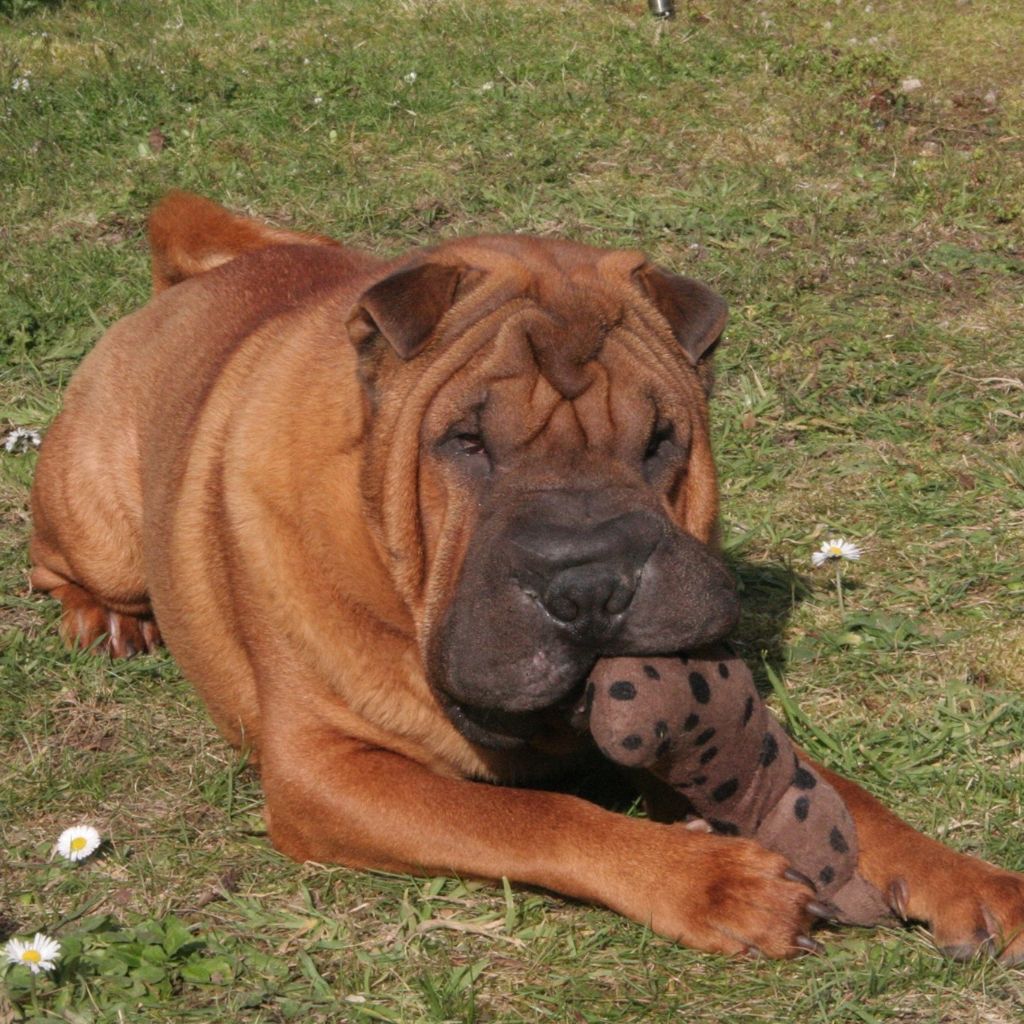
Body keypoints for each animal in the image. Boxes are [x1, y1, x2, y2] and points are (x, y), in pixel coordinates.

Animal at [28, 192, 1019, 958]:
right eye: (466, 442)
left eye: (660, 441)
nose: (591, 587)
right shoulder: (326, 770)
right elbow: (534, 817)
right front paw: (713, 882)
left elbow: (843, 794)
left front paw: (970, 880)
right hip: (96, 520)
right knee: (57, 563)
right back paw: (105, 620)